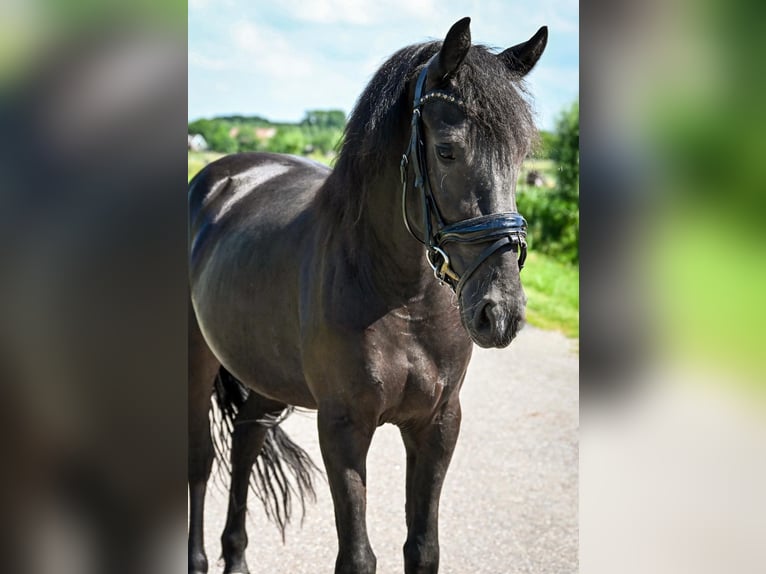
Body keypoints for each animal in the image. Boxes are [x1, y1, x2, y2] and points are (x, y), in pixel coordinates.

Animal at [188, 17, 548, 574]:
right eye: (447, 150)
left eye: (520, 156)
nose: (501, 312)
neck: (402, 299)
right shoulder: (344, 427)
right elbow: (357, 556)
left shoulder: (438, 424)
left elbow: (422, 549)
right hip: (198, 359)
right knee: (202, 459)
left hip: (264, 372)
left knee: (247, 440)